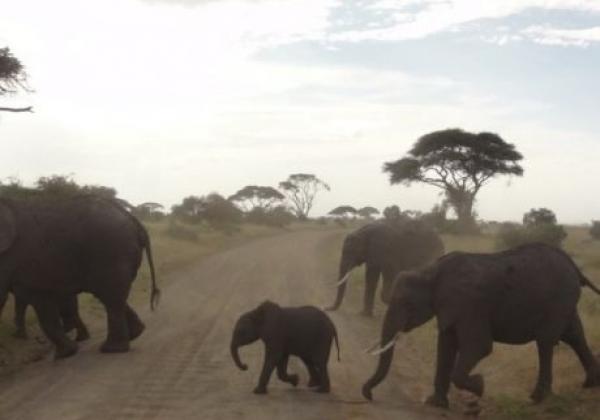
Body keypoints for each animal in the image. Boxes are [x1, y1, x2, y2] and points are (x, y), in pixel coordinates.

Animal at [0, 195, 159, 360]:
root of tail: (133, 219)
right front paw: (67, 352)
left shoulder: (11, 256)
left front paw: (65, 353)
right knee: (108, 295)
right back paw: (135, 333)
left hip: (111, 252)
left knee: (110, 298)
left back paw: (112, 349)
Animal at [360, 243, 600, 406]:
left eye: (407, 304)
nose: (369, 395)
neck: (430, 271)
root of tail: (575, 268)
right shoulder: (451, 308)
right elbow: (446, 346)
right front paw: (435, 404)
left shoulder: (470, 304)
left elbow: (479, 346)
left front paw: (480, 386)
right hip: (566, 301)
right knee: (575, 336)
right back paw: (591, 384)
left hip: (558, 299)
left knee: (546, 342)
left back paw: (538, 398)